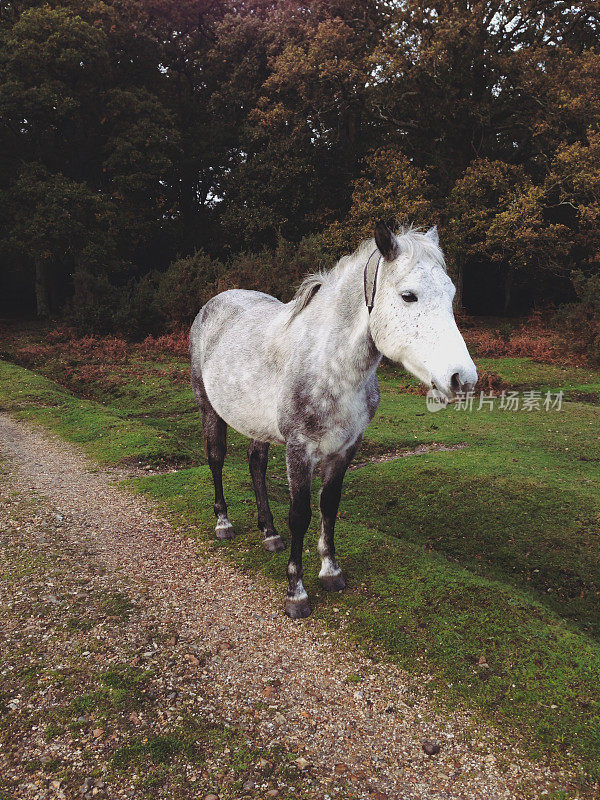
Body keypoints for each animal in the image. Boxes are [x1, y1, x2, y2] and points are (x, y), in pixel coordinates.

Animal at [190, 223, 476, 620]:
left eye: (450, 294)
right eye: (409, 296)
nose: (462, 379)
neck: (331, 366)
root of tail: (214, 304)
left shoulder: (346, 449)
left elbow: (329, 506)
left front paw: (330, 572)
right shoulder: (299, 450)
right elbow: (301, 514)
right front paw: (296, 593)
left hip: (256, 424)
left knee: (255, 464)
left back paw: (269, 533)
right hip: (209, 408)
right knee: (216, 459)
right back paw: (224, 523)